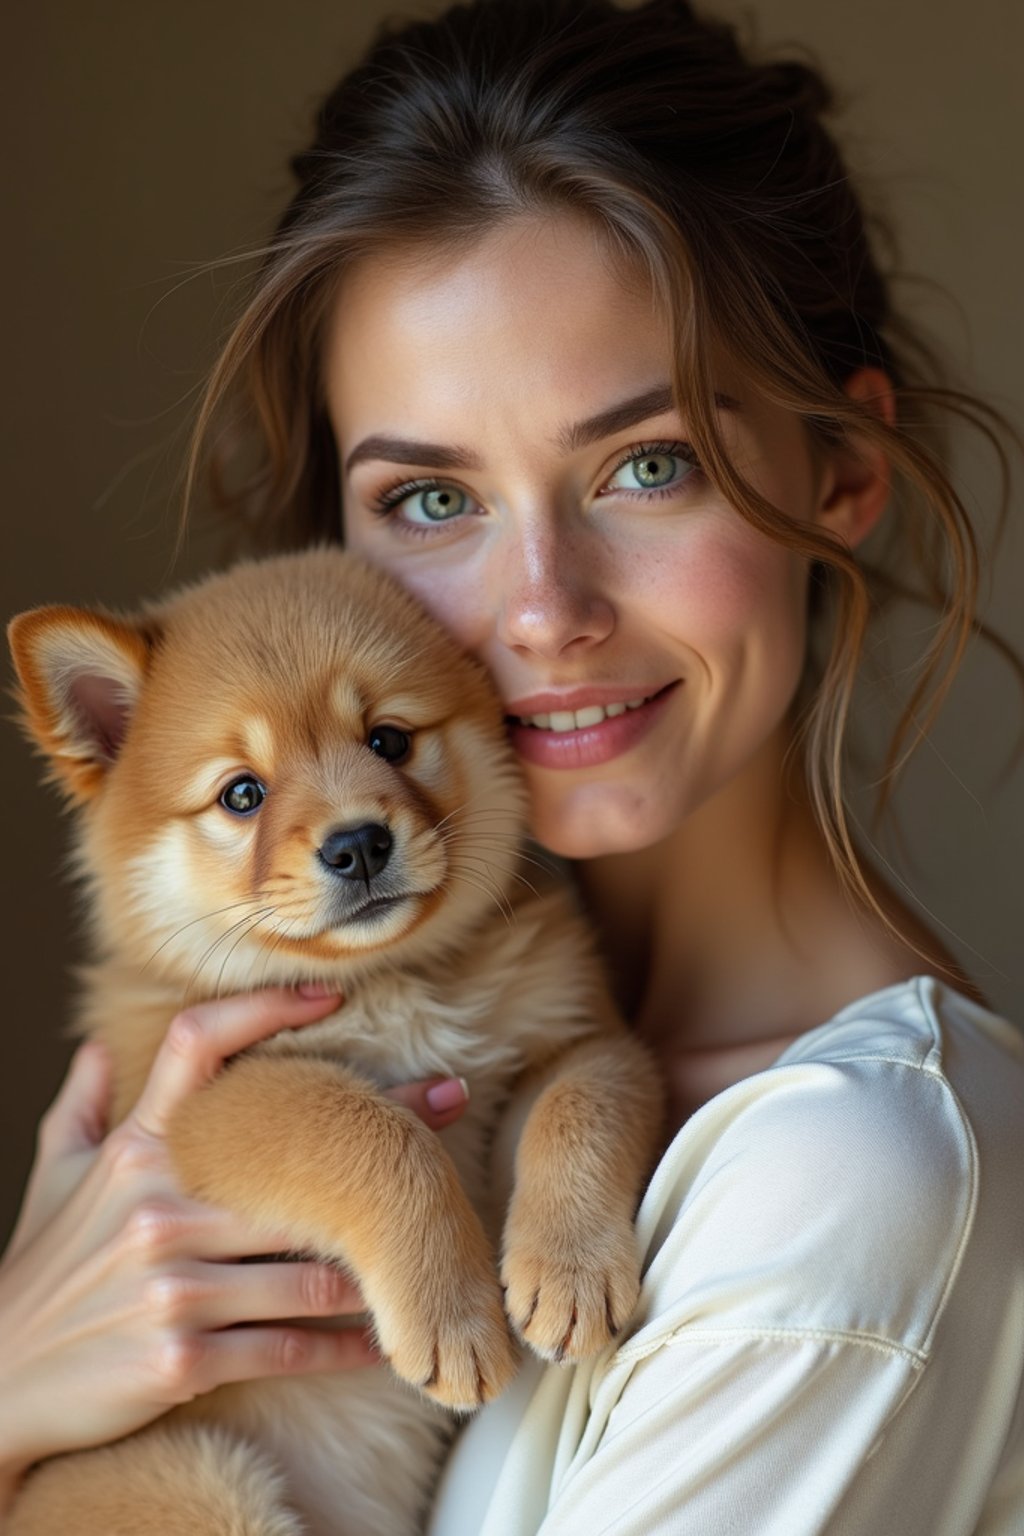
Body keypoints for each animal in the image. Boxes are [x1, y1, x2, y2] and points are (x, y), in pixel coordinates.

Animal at [5, 552, 666, 1536]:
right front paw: (453, 1321)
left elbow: (581, 1104)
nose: (358, 843)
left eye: (389, 740)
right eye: (242, 794)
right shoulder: (207, 1103)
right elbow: (370, 1132)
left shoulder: (571, 1043)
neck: (388, 983)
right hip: (198, 1485)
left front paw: (568, 1271)